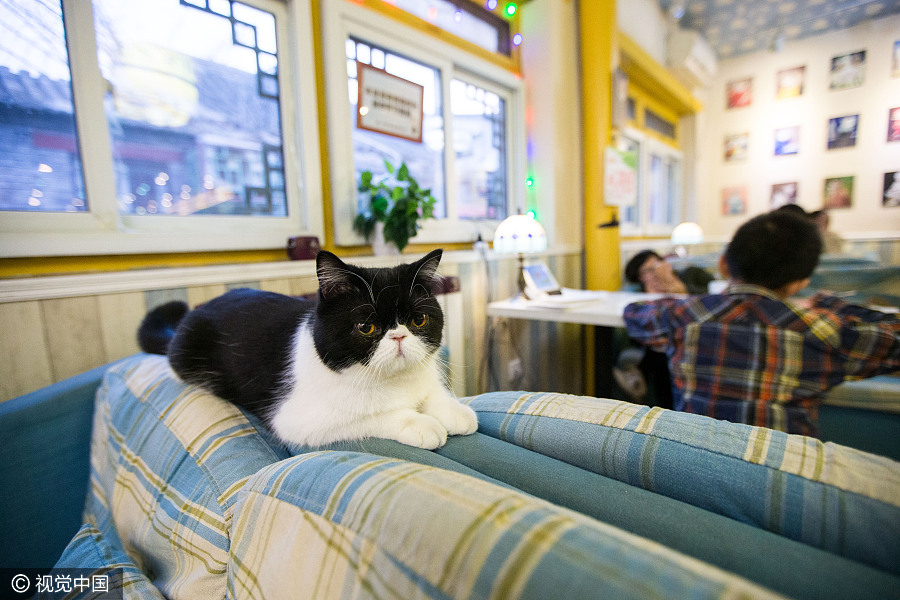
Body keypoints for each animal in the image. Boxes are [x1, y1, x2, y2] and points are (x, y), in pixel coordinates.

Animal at [137, 248, 474, 450]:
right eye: (366, 327)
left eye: (418, 320)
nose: (399, 336)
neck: (394, 382)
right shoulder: (296, 419)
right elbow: (370, 415)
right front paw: (419, 423)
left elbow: (431, 392)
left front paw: (455, 411)